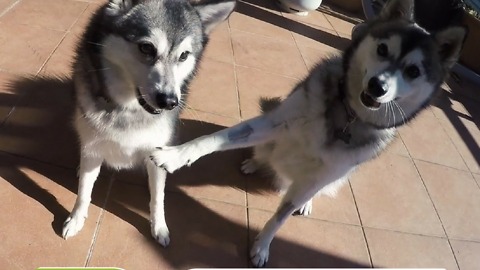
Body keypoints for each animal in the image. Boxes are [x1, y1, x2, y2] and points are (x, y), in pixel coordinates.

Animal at [63, 0, 236, 246]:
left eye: (184, 55)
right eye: (146, 48)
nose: (169, 101)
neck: (129, 109)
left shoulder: (158, 152)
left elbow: (158, 197)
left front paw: (159, 226)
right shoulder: (93, 146)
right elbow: (84, 191)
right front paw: (76, 218)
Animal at [150, 0, 464, 266]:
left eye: (413, 71)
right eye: (383, 49)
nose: (377, 86)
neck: (347, 115)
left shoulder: (322, 175)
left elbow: (281, 216)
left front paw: (262, 247)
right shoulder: (273, 123)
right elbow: (212, 139)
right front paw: (176, 155)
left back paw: (304, 202)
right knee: (263, 152)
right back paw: (254, 163)